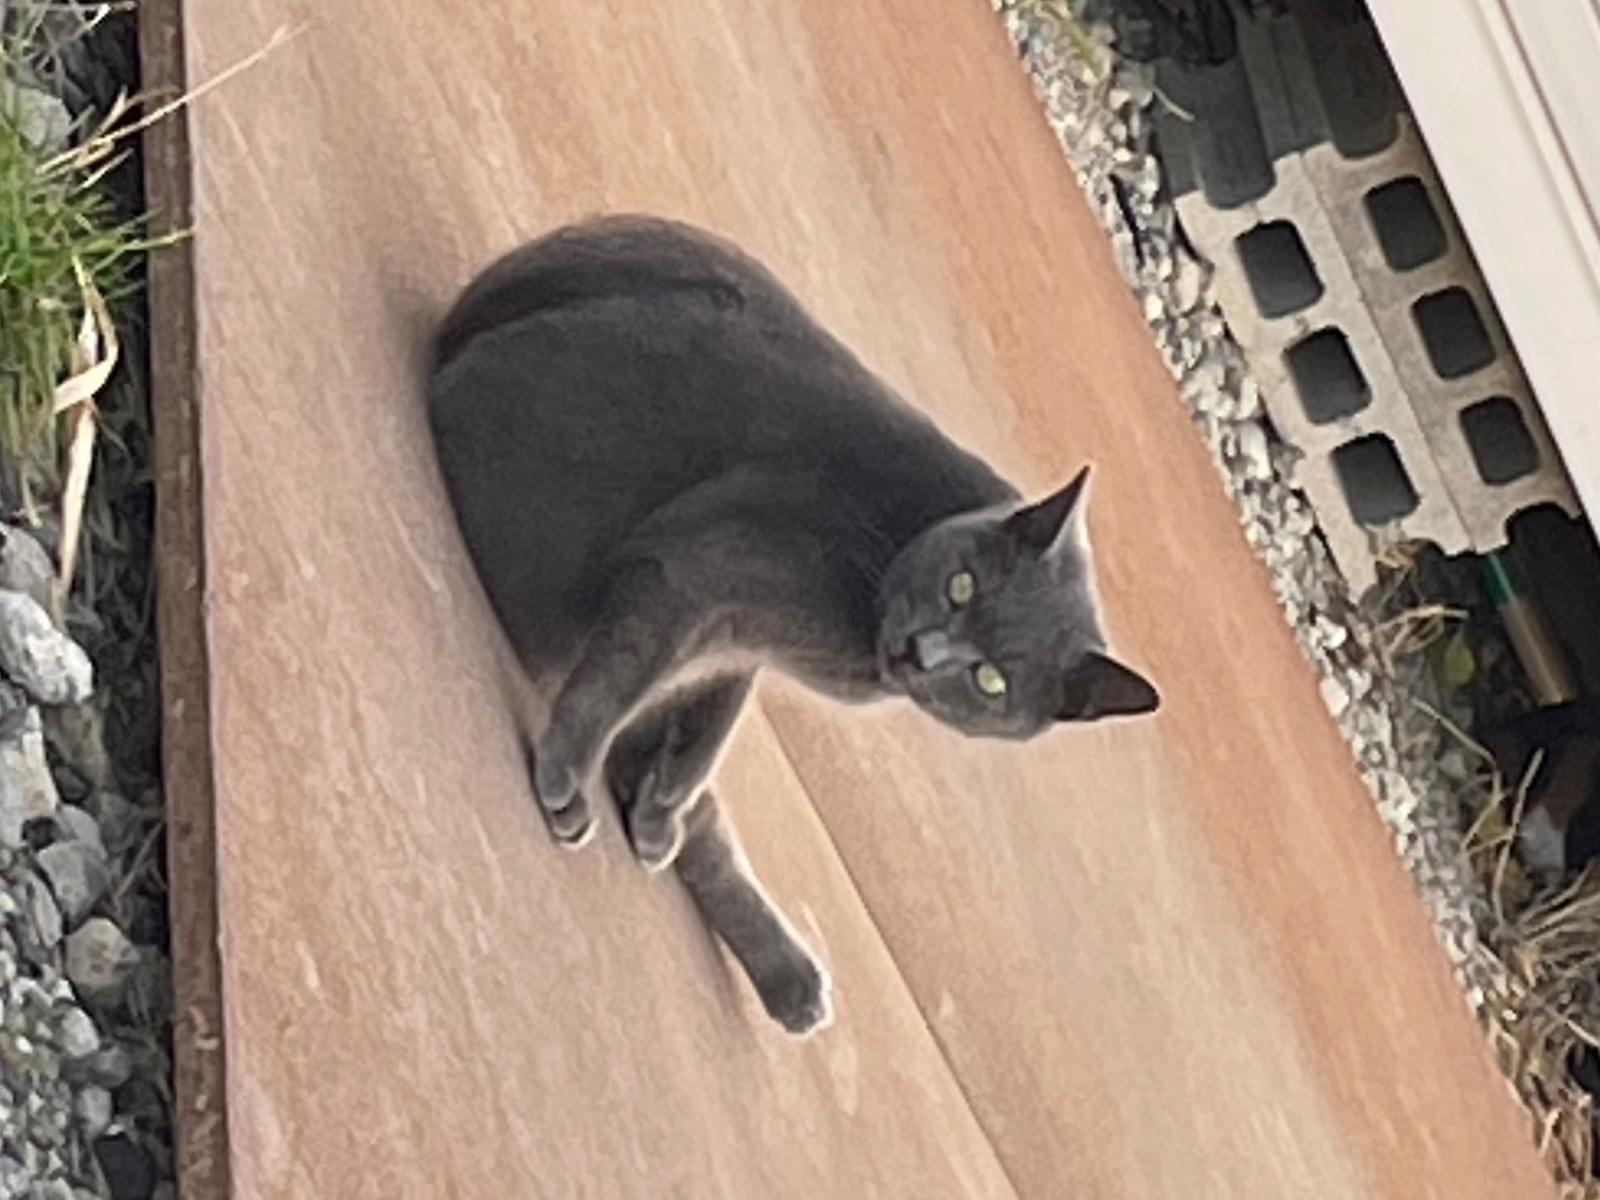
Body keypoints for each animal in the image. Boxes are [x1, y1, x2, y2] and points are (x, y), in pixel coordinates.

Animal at [426, 214, 1160, 1037]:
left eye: (991, 679)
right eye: (961, 585)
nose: (922, 650)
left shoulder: (733, 642)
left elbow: (709, 729)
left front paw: (658, 808)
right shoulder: (696, 576)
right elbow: (619, 683)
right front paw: (572, 773)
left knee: (699, 808)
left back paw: (785, 972)